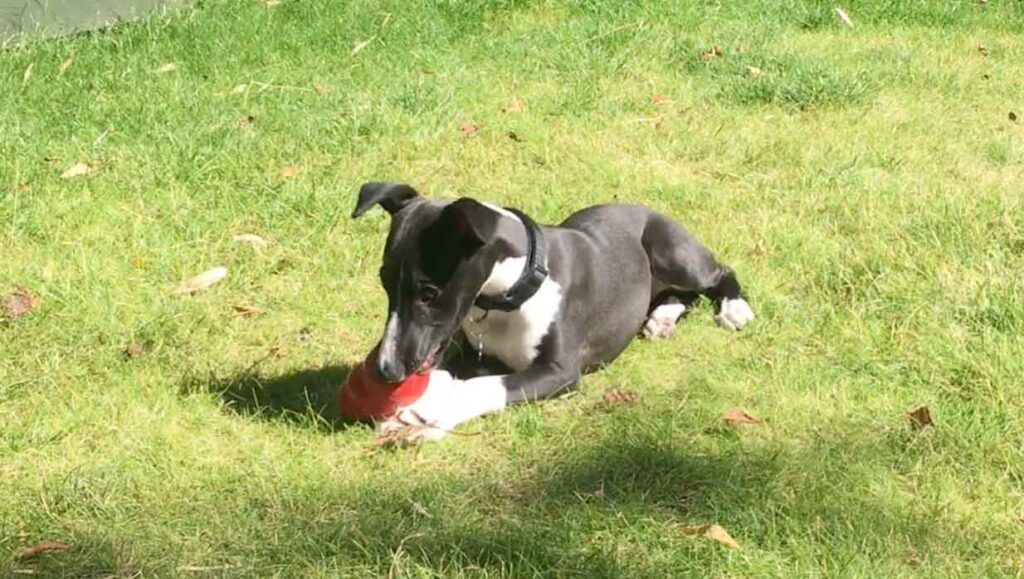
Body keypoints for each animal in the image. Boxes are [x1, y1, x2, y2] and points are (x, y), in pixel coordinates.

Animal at [352, 182, 753, 440]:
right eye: (384, 282)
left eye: (429, 293)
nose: (386, 369)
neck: (512, 292)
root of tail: (644, 208)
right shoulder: (465, 346)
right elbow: (444, 373)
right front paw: (408, 412)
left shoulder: (559, 371)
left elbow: (485, 385)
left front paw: (429, 415)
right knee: (679, 295)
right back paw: (660, 320)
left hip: (673, 253)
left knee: (718, 273)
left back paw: (734, 308)